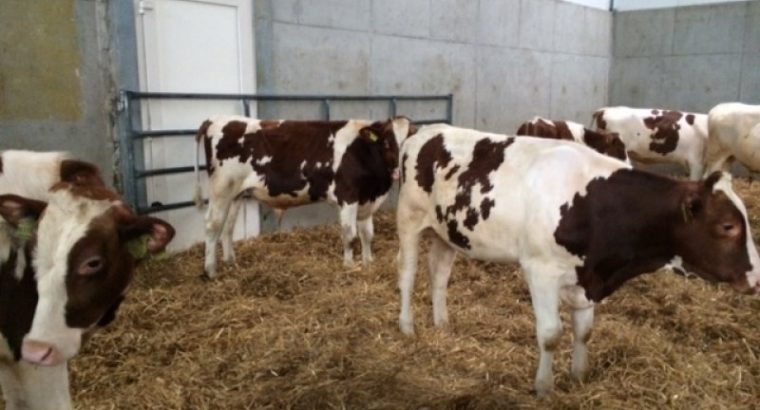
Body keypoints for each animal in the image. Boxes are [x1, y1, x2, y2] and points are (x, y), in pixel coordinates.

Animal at [193, 115, 416, 279]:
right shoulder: (348, 196)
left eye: (410, 142)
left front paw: (368, 263)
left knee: (228, 227)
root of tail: (215, 119)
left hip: (236, 193)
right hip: (221, 189)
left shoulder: (366, 200)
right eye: (386, 142)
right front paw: (349, 265)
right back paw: (211, 271)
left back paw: (231, 262)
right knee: (212, 224)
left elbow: (368, 235)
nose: (399, 170)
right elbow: (350, 235)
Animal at [396, 124, 760, 397]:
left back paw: (442, 324)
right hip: (410, 219)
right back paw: (407, 327)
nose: (756, 278)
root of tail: (425, 130)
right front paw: (543, 388)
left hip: (448, 232)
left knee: (439, 274)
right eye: (727, 226)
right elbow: (550, 333)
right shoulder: (540, 270)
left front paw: (578, 376)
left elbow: (584, 331)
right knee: (408, 274)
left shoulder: (588, 277)